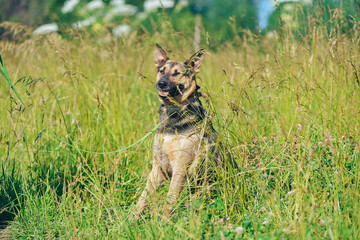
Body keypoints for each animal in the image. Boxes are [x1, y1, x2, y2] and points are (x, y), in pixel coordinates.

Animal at [132, 43, 236, 219]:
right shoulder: (157, 167)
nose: (161, 83)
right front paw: (131, 219)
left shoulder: (180, 168)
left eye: (177, 73)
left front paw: (164, 221)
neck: (174, 112)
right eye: (162, 70)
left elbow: (169, 199)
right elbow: (143, 197)